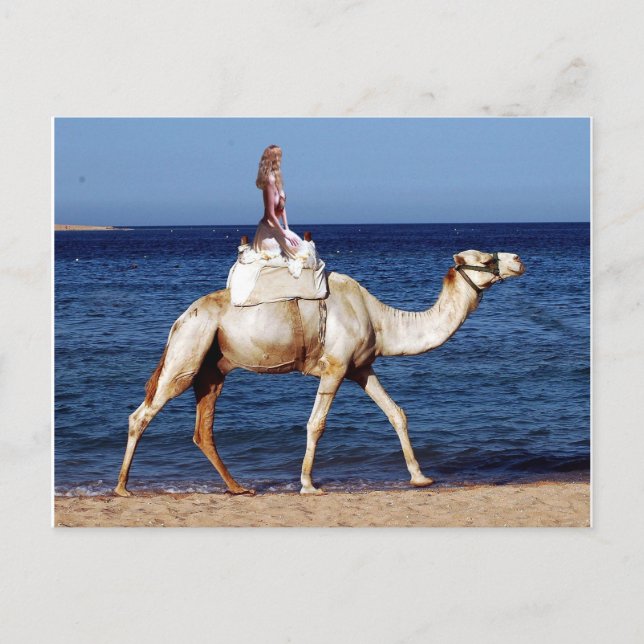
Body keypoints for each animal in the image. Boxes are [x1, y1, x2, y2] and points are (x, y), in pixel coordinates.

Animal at [115, 248, 525, 497]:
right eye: (484, 258)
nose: (518, 259)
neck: (381, 321)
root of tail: (179, 320)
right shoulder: (336, 367)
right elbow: (316, 424)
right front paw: (308, 484)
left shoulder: (362, 368)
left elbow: (397, 413)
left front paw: (420, 477)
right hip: (188, 353)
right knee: (142, 414)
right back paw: (122, 488)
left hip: (212, 369)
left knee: (203, 430)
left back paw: (238, 487)